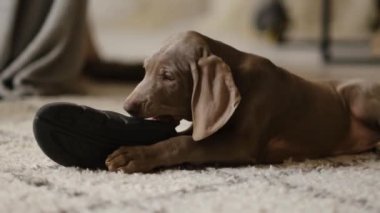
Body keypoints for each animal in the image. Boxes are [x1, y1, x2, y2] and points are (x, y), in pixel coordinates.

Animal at [105, 30, 380, 173]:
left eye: (168, 76)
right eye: (145, 70)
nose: (128, 106)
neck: (239, 76)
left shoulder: (242, 144)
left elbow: (183, 143)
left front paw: (134, 155)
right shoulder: (209, 122)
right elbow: (184, 135)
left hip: (358, 98)